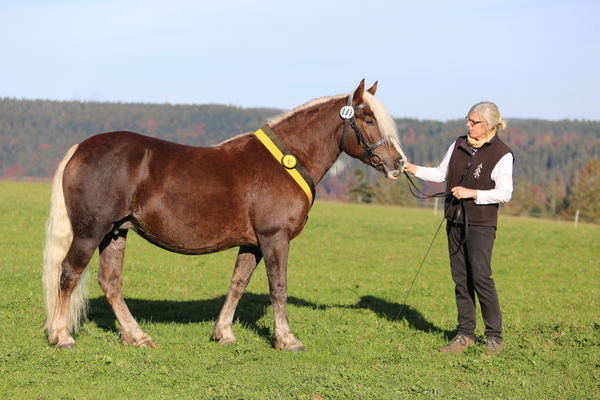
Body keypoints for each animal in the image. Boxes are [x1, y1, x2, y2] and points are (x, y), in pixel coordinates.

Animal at [43, 80, 408, 350]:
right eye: (369, 119)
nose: (398, 164)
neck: (285, 162)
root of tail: (80, 149)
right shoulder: (274, 238)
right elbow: (278, 286)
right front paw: (287, 339)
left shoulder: (253, 243)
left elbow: (238, 283)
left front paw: (224, 333)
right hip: (91, 232)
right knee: (68, 273)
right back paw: (62, 336)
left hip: (117, 232)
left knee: (111, 282)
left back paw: (137, 336)